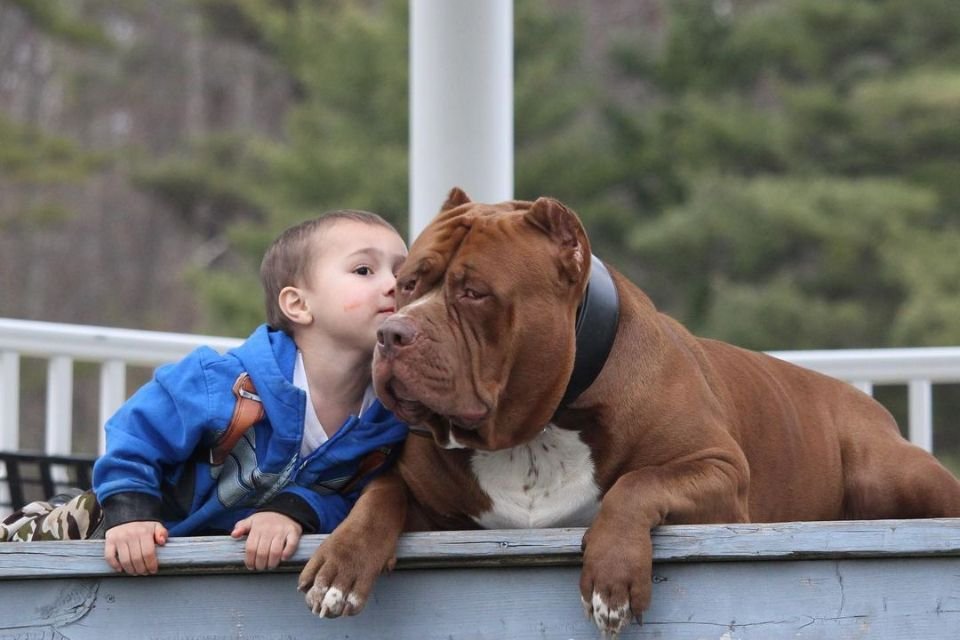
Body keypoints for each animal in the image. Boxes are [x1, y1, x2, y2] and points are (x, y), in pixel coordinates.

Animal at [298, 189, 960, 636]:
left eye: (474, 293)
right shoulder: (430, 498)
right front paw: (341, 565)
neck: (532, 433)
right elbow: (380, 492)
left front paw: (612, 578)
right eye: (407, 284)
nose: (393, 334)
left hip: (887, 471)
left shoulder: (722, 478)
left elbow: (638, 483)